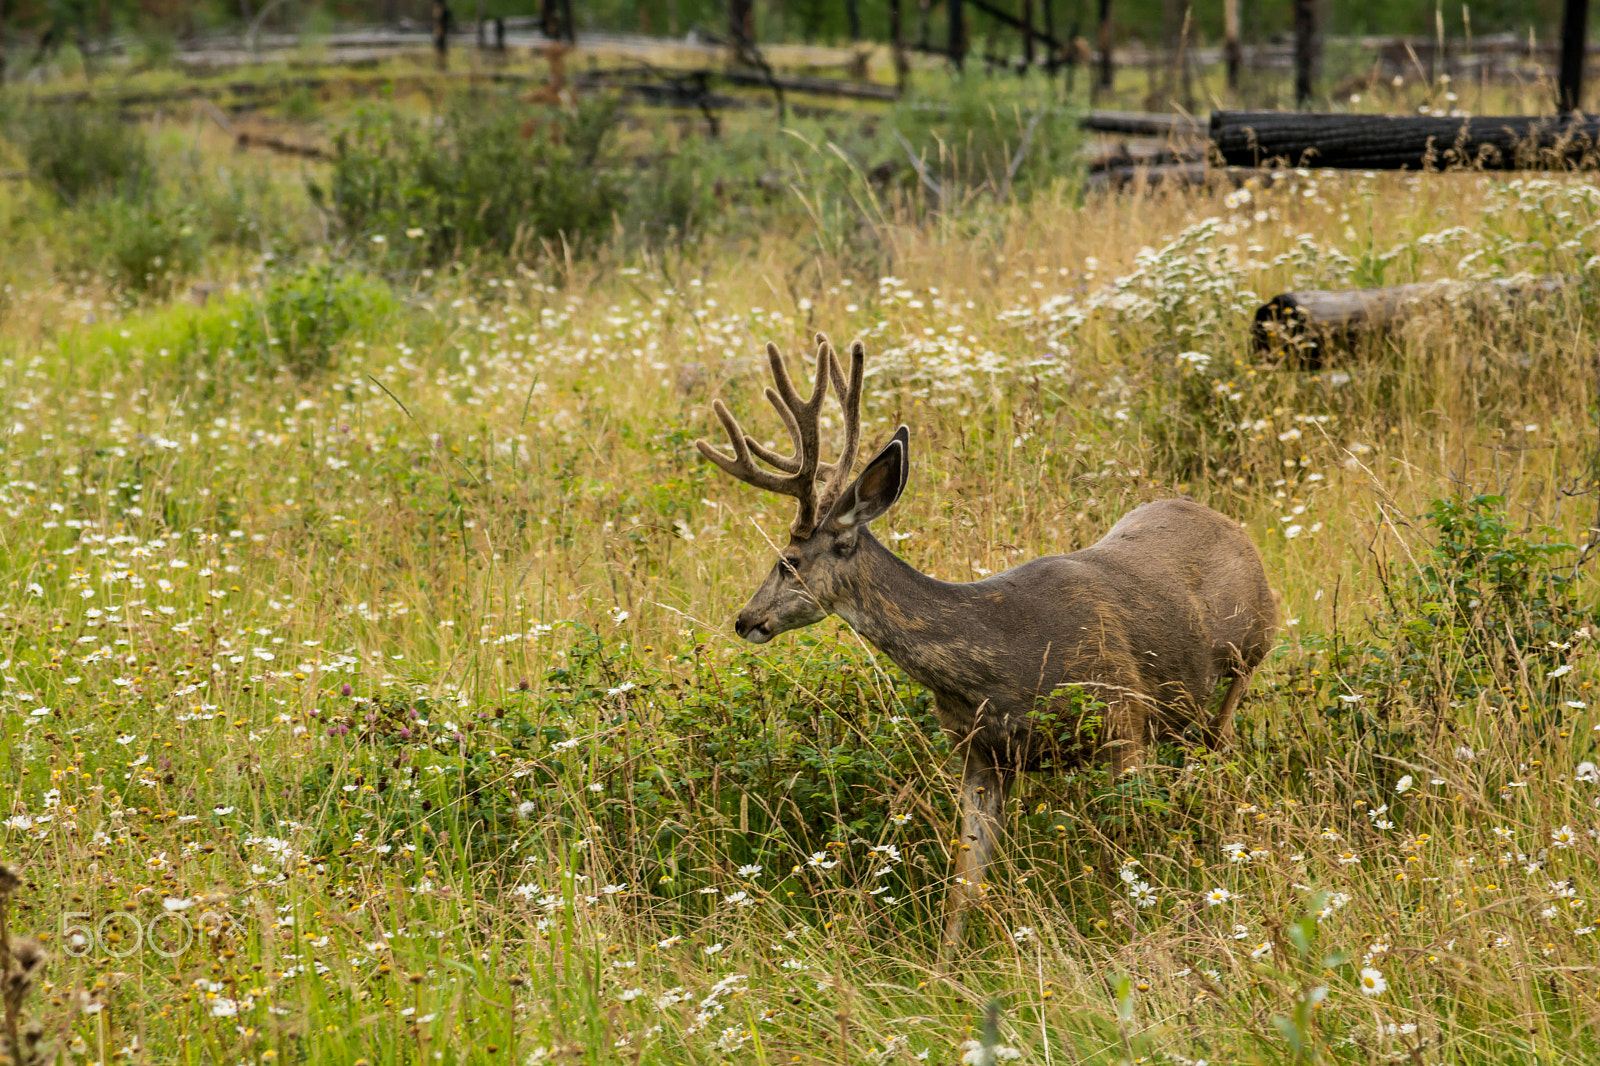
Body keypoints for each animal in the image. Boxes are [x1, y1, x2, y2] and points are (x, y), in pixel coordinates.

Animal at [696, 333, 1277, 948]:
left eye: (788, 561)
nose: (744, 619)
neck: (1002, 664)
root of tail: (1235, 530)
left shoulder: (1122, 719)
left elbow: (1127, 853)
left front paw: (1134, 932)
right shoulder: (980, 755)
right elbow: (963, 885)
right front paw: (946, 964)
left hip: (1247, 655)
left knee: (1218, 753)